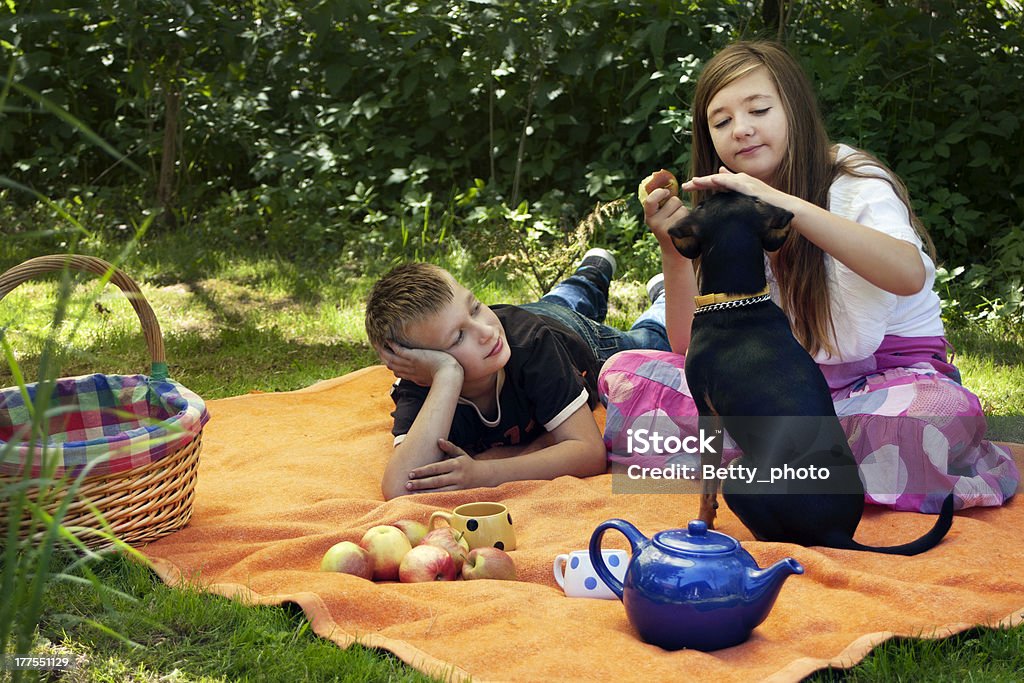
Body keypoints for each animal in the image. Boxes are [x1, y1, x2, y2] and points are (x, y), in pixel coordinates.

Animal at [667, 192, 954, 557]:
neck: (738, 302)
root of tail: (837, 533)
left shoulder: (708, 412)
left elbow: (707, 488)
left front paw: (702, 523)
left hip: (739, 474)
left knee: (782, 539)